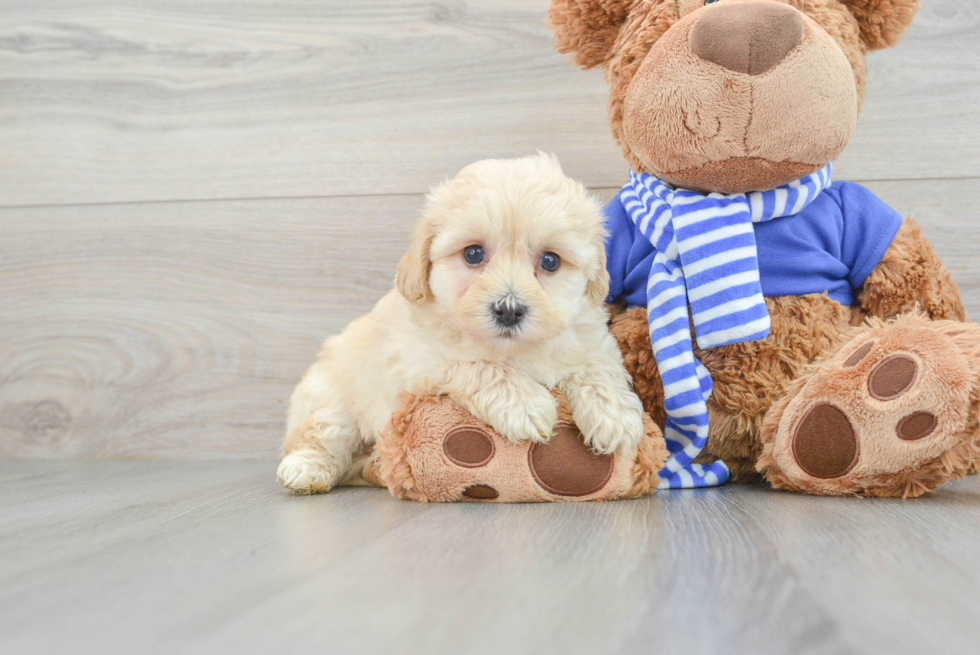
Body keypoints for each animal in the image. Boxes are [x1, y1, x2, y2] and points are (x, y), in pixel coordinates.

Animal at [278, 154, 644, 492]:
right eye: (473, 254)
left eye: (550, 261)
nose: (509, 310)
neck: (513, 350)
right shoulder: (422, 363)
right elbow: (479, 366)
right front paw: (526, 404)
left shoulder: (593, 340)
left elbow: (598, 369)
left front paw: (616, 417)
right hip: (330, 396)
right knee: (322, 435)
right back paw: (307, 468)